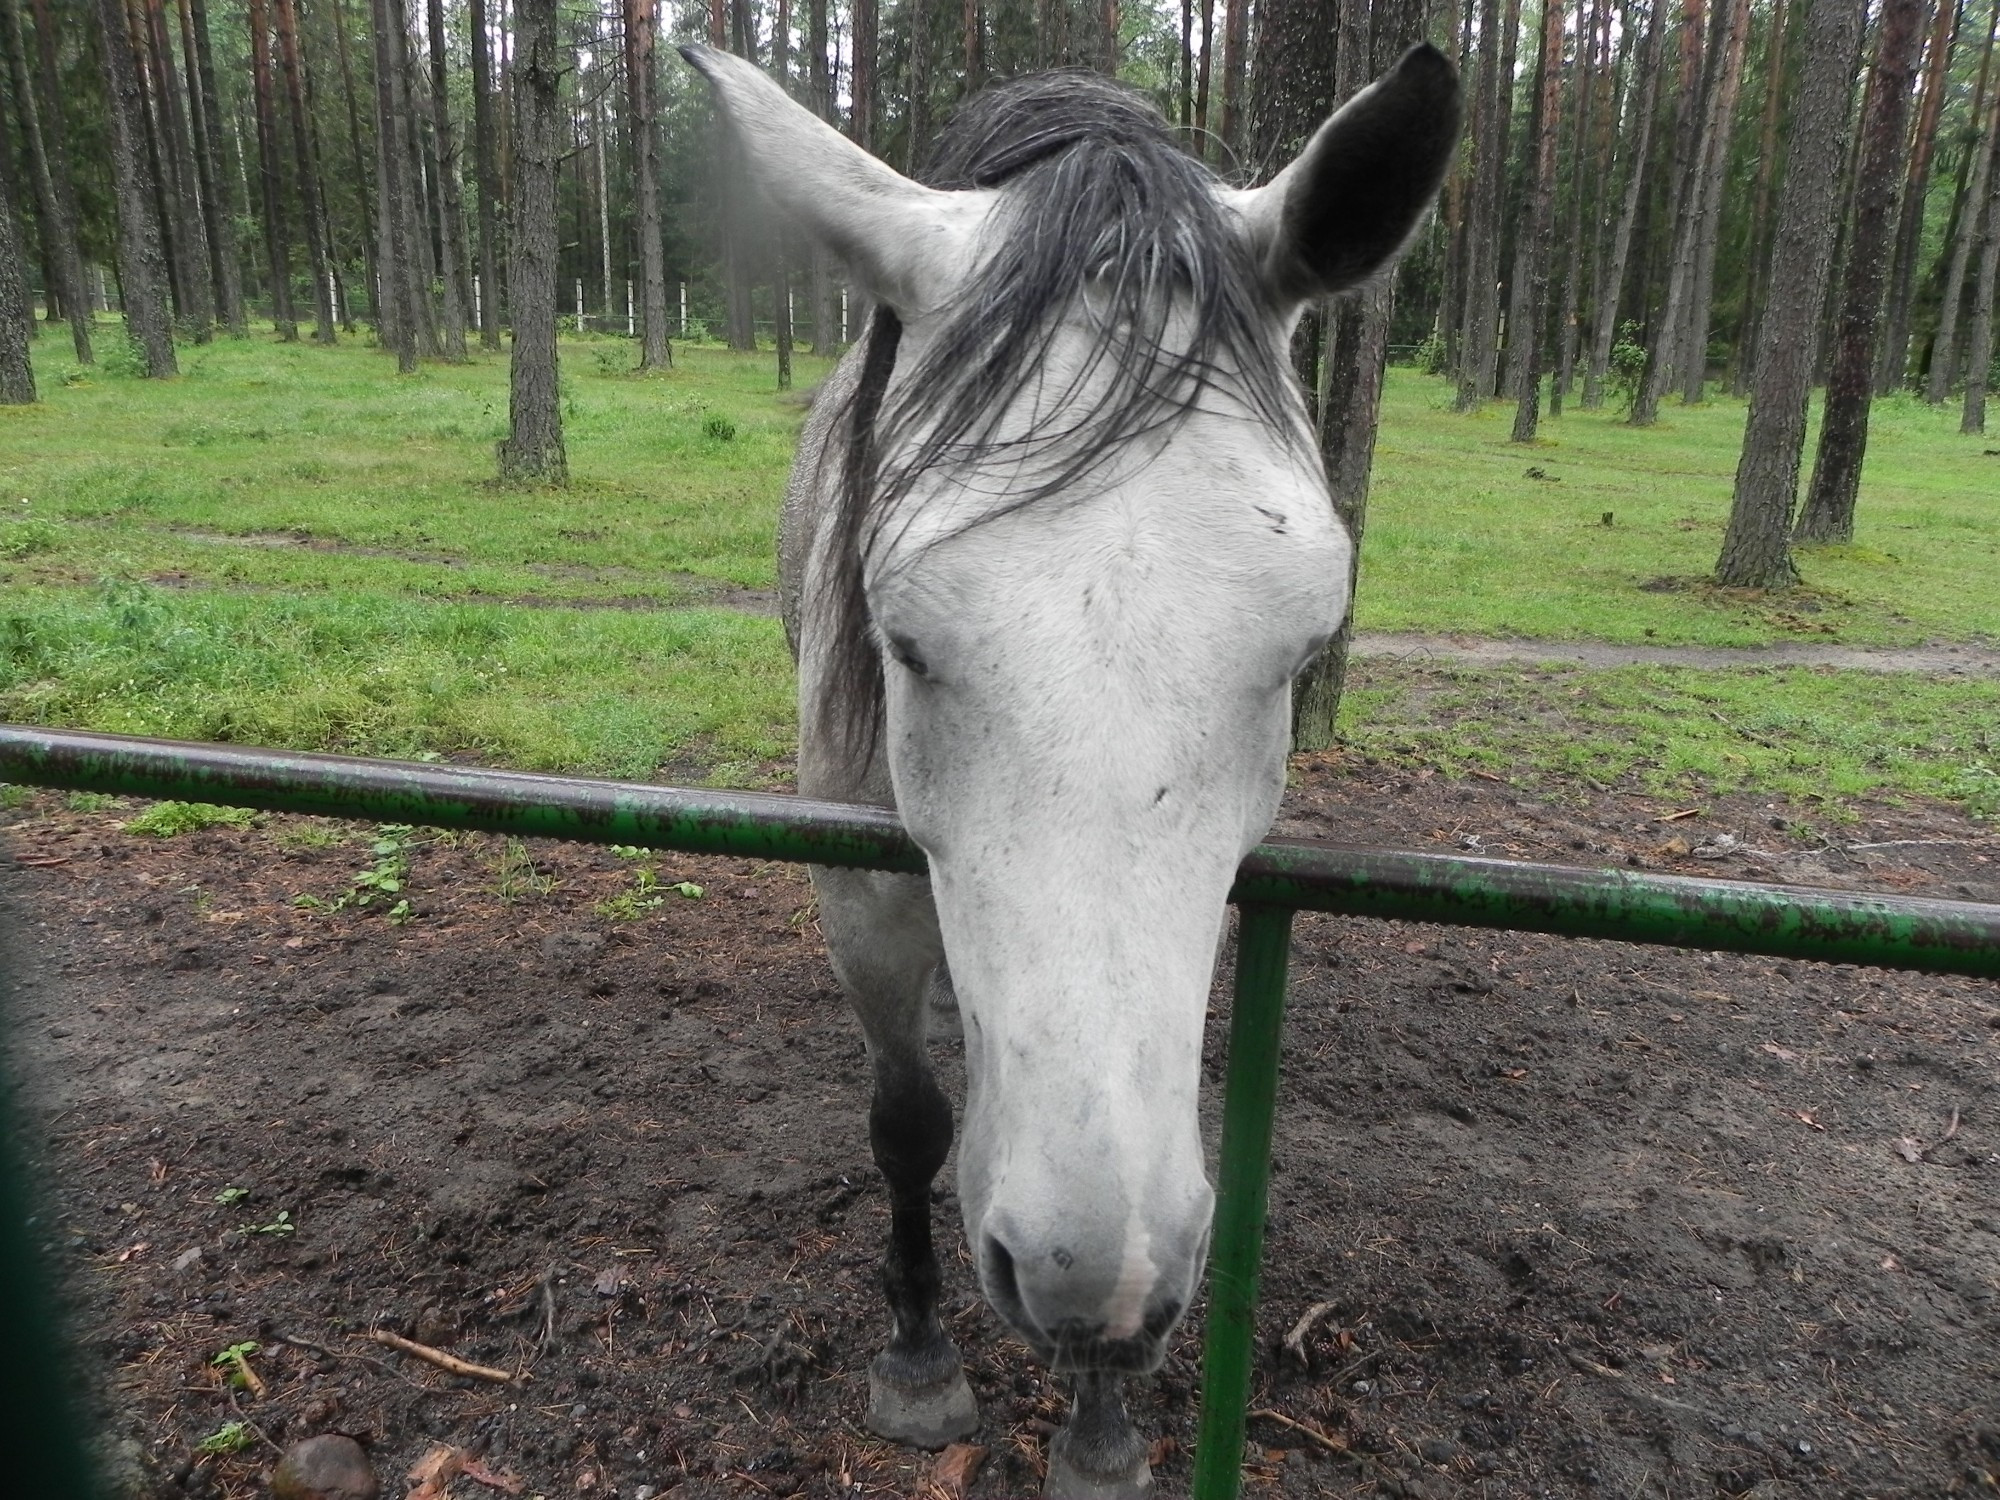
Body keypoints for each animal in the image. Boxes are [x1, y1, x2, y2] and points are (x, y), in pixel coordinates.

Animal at [684, 41, 1456, 1496]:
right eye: (905, 639)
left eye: (1299, 649)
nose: (1097, 1284)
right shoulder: (856, 895)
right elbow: (907, 1121)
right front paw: (918, 1361)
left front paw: (1100, 1426)